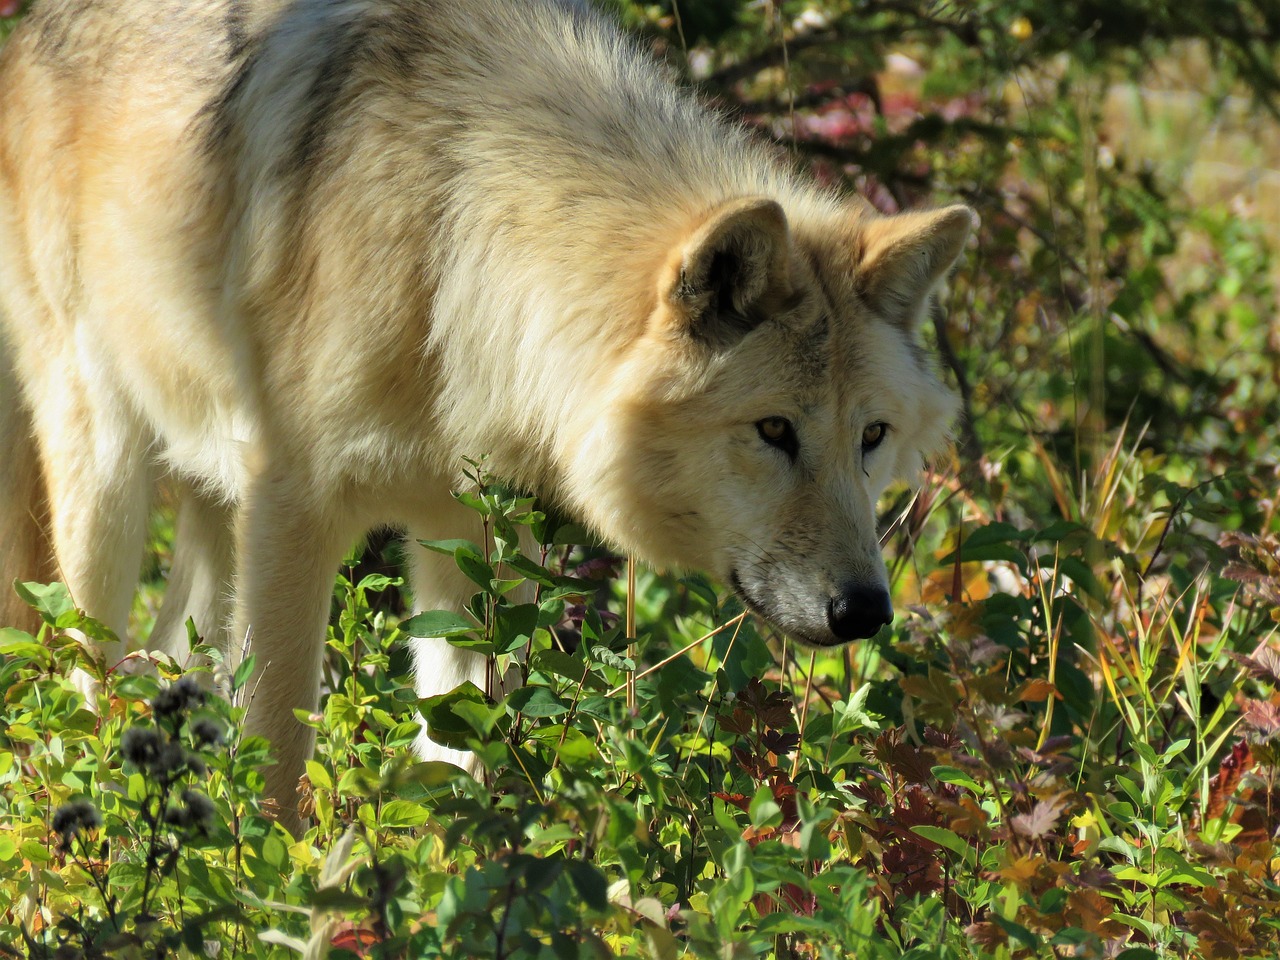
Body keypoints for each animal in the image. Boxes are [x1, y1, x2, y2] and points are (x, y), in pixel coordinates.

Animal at [0, 0, 967, 819]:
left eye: (871, 437)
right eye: (772, 430)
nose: (867, 612)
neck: (453, 254)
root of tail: (27, 32)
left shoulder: (476, 547)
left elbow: (459, 768)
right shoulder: (291, 511)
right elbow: (275, 752)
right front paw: (272, 890)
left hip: (204, 506)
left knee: (167, 661)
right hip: (105, 491)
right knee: (81, 686)